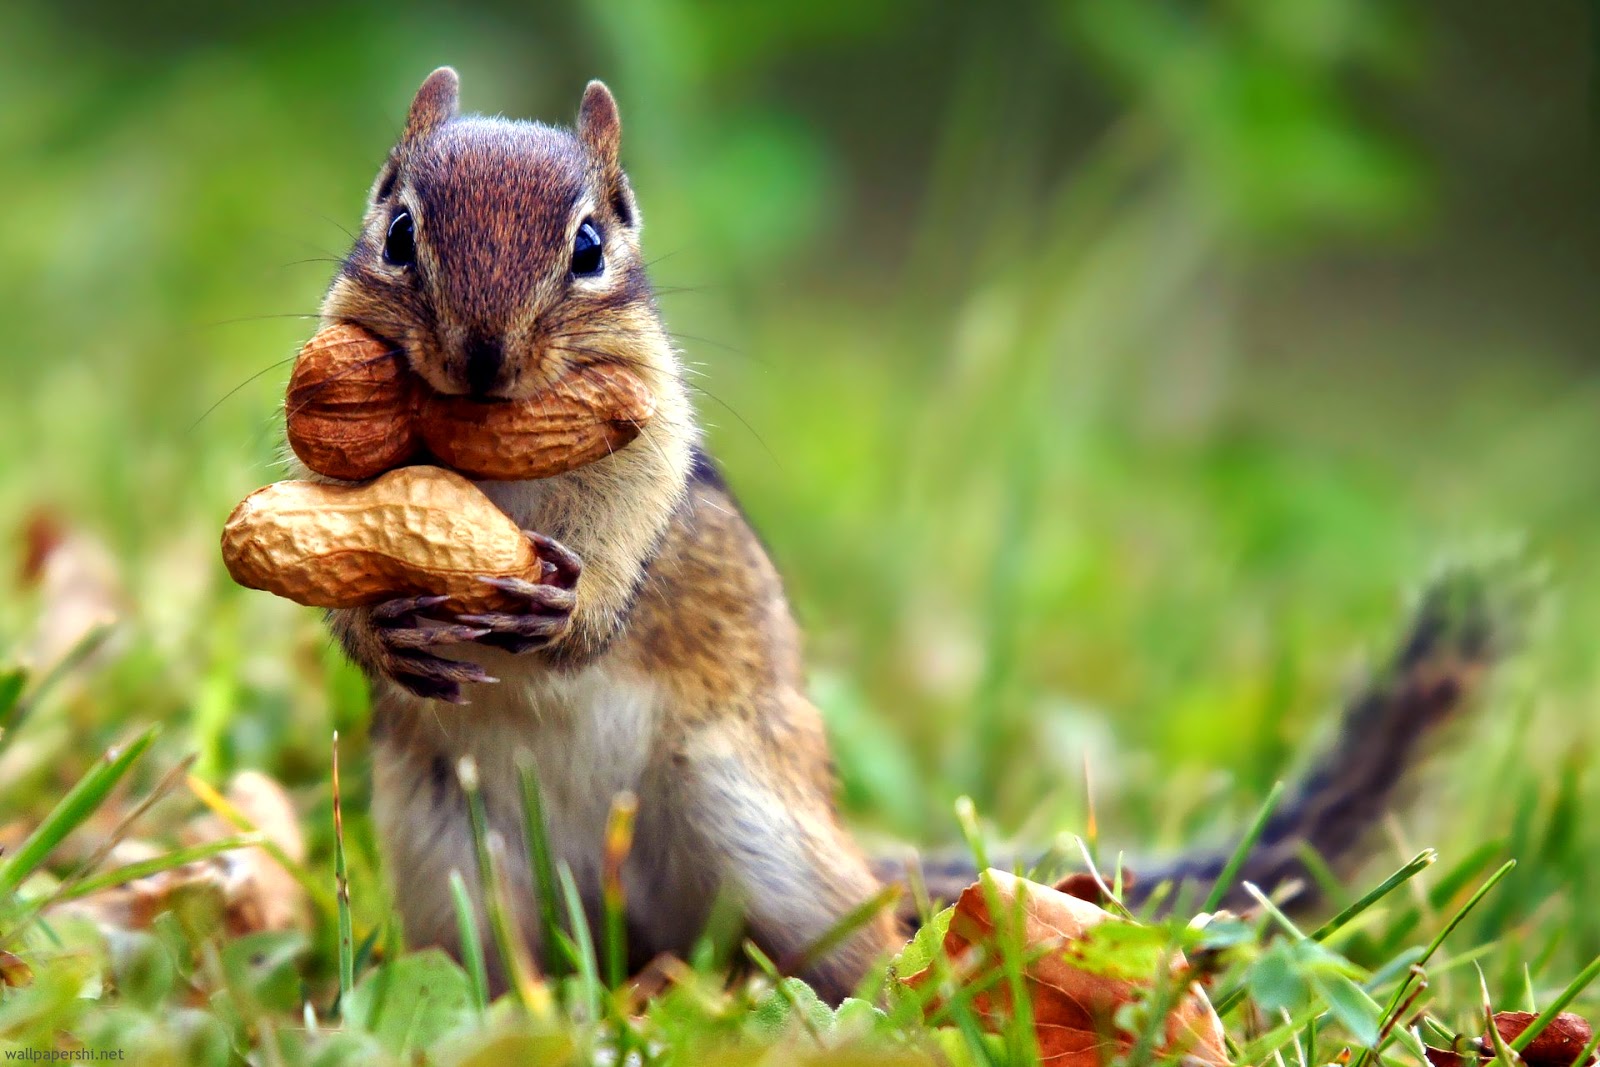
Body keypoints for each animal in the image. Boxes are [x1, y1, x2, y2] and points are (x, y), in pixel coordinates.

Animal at [302, 68, 1513, 1004]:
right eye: (397, 230)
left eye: (592, 243)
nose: (482, 360)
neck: (491, 458)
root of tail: (624, 925)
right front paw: (382, 630)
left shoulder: (652, 456)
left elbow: (623, 551)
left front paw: (570, 609)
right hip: (453, 866)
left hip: (763, 838)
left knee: (863, 948)